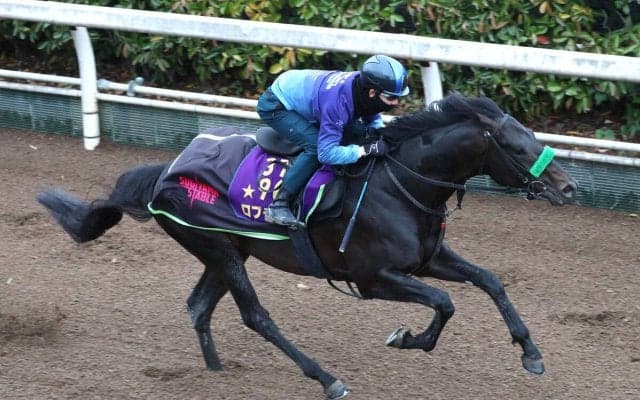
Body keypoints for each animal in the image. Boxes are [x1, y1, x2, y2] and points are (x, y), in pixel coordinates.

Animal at [37, 93, 577, 399]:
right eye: (519, 147)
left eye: (533, 137)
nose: (569, 188)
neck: (401, 183)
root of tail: (165, 172)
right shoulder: (372, 278)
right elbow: (444, 303)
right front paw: (406, 338)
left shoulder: (428, 259)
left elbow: (490, 280)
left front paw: (531, 354)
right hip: (221, 251)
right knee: (256, 317)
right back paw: (325, 378)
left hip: (227, 251)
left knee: (198, 306)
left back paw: (217, 372)